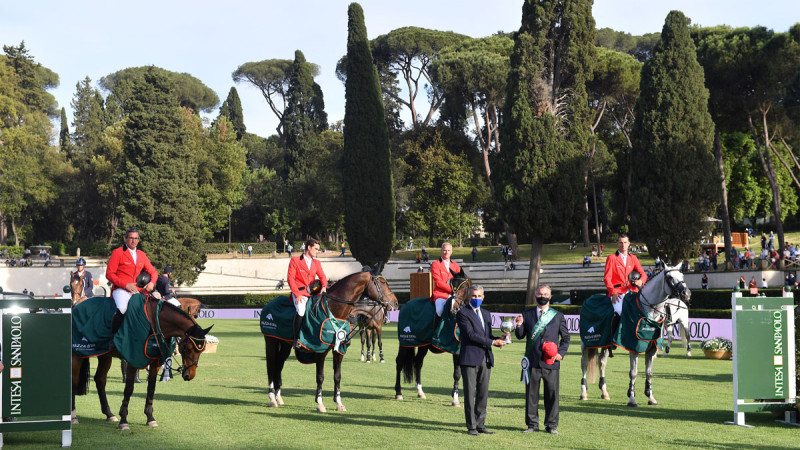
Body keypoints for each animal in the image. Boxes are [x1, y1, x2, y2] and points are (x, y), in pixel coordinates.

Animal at [72, 296, 212, 428]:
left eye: (202, 349)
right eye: (188, 348)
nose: (189, 375)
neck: (155, 321)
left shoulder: (155, 363)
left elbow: (151, 388)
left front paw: (150, 417)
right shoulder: (133, 359)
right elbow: (129, 388)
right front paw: (124, 420)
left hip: (105, 356)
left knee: (100, 380)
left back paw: (109, 414)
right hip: (76, 355)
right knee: (74, 381)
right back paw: (73, 416)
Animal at [264, 268, 398, 412]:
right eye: (383, 282)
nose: (395, 303)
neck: (333, 310)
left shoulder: (339, 351)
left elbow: (337, 376)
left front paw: (338, 402)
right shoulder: (320, 351)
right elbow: (320, 377)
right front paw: (320, 403)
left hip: (285, 345)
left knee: (279, 365)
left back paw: (278, 397)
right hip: (271, 342)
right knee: (271, 366)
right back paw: (272, 398)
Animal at [392, 276, 468, 406]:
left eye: (463, 287)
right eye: (452, 286)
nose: (454, 308)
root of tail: (406, 305)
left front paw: (455, 395)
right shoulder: (456, 350)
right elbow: (457, 374)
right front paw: (455, 400)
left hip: (423, 345)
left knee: (418, 363)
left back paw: (420, 392)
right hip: (405, 343)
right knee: (399, 362)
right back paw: (398, 393)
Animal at [580, 264, 692, 408]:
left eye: (682, 275)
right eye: (669, 278)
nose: (686, 294)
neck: (648, 312)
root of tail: (589, 298)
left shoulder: (651, 349)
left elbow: (649, 373)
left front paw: (650, 397)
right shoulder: (633, 348)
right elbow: (633, 373)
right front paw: (632, 398)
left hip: (604, 343)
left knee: (602, 362)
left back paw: (604, 392)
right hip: (586, 343)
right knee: (584, 364)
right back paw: (583, 392)